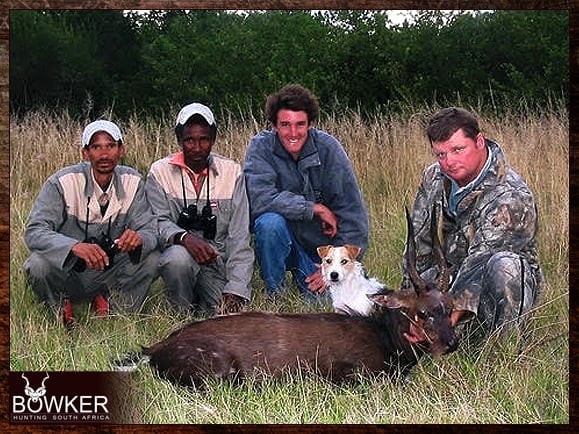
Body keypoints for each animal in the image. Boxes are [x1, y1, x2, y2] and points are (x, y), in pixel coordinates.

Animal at [114, 207, 458, 386]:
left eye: (449, 308)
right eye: (423, 312)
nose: (451, 344)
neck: (385, 337)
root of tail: (154, 349)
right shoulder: (349, 374)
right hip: (220, 373)